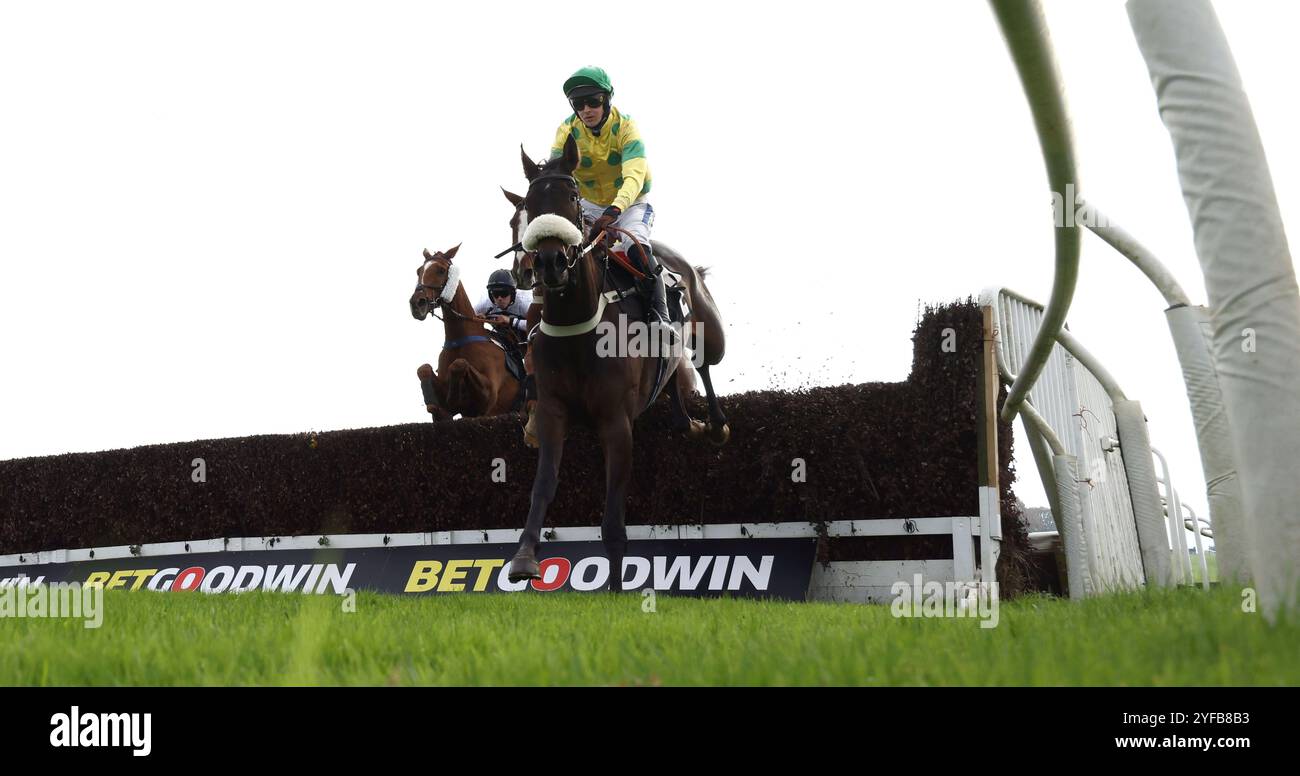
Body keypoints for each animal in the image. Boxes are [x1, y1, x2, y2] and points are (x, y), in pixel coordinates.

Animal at [410, 245, 522, 421]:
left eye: (441, 270)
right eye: (418, 271)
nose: (417, 303)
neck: (460, 338)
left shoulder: (488, 397)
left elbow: (459, 364)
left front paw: (453, 397)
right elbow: (424, 369)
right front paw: (435, 402)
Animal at [504, 137, 728, 587]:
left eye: (572, 197)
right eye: (531, 205)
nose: (549, 262)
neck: (577, 327)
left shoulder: (616, 421)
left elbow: (612, 516)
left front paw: (614, 586)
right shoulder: (553, 410)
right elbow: (543, 485)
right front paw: (523, 557)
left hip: (710, 332)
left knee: (705, 364)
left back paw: (715, 424)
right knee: (675, 383)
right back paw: (690, 422)